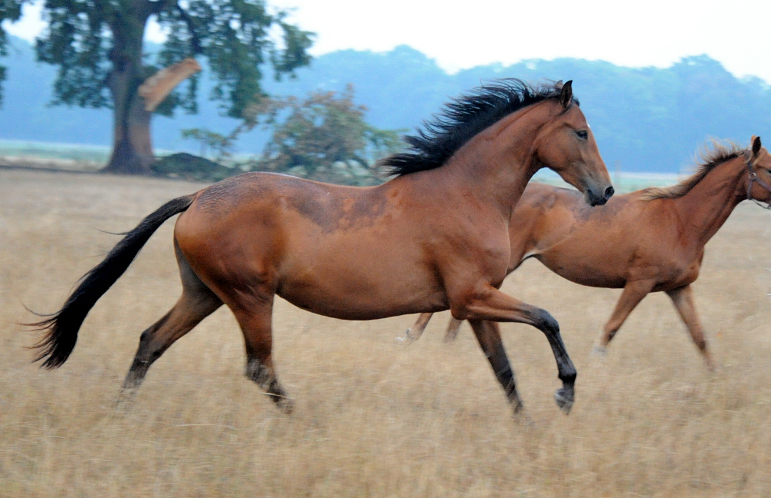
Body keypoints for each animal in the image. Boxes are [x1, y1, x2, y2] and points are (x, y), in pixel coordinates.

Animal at [30, 80, 616, 416]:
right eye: (581, 132)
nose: (606, 193)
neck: (468, 193)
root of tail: (197, 196)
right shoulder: (471, 296)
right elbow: (548, 319)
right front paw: (565, 393)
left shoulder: (473, 302)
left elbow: (504, 370)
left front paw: (528, 426)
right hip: (249, 297)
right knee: (259, 367)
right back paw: (299, 421)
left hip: (204, 294)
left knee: (152, 341)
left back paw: (120, 413)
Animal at [404, 136, 771, 370]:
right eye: (768, 168)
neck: (680, 220)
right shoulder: (639, 283)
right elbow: (610, 329)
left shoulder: (679, 289)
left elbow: (700, 338)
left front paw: (715, 379)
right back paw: (412, 338)